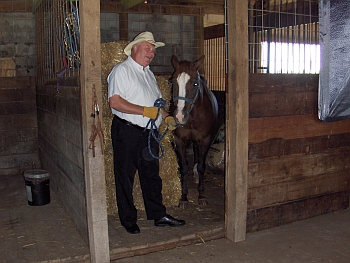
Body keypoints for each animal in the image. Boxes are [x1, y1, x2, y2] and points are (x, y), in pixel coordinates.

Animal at [170, 55, 217, 210]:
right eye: (173, 81)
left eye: (195, 84)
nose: (179, 116)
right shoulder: (179, 140)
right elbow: (184, 167)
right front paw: (183, 197)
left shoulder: (205, 140)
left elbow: (202, 167)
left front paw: (201, 196)